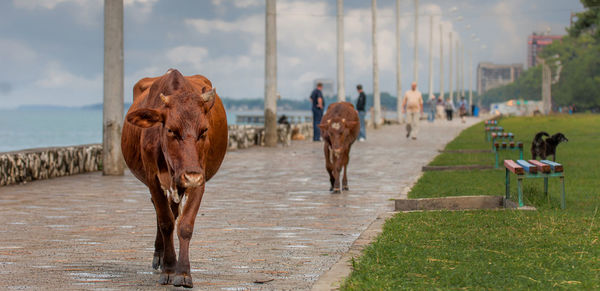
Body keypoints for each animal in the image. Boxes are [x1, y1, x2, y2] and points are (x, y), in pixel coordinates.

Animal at [121, 69, 227, 290]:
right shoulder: (153, 180)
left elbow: (185, 225)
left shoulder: (199, 179)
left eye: (204, 130)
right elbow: (166, 222)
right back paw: (159, 256)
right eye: (171, 130)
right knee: (161, 213)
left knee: (174, 210)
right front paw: (169, 268)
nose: (190, 175)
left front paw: (184, 272)